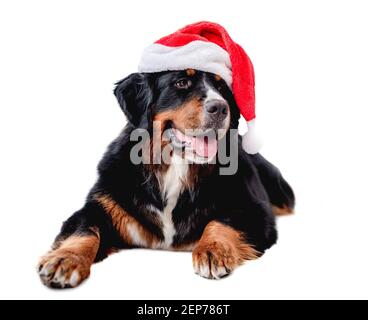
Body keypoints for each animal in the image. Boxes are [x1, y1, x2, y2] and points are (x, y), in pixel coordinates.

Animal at [38, 69, 296, 288]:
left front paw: (212, 251)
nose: (220, 108)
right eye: (181, 83)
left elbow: (221, 222)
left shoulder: (254, 210)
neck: (176, 166)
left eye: (222, 87)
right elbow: (84, 230)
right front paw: (64, 260)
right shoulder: (102, 204)